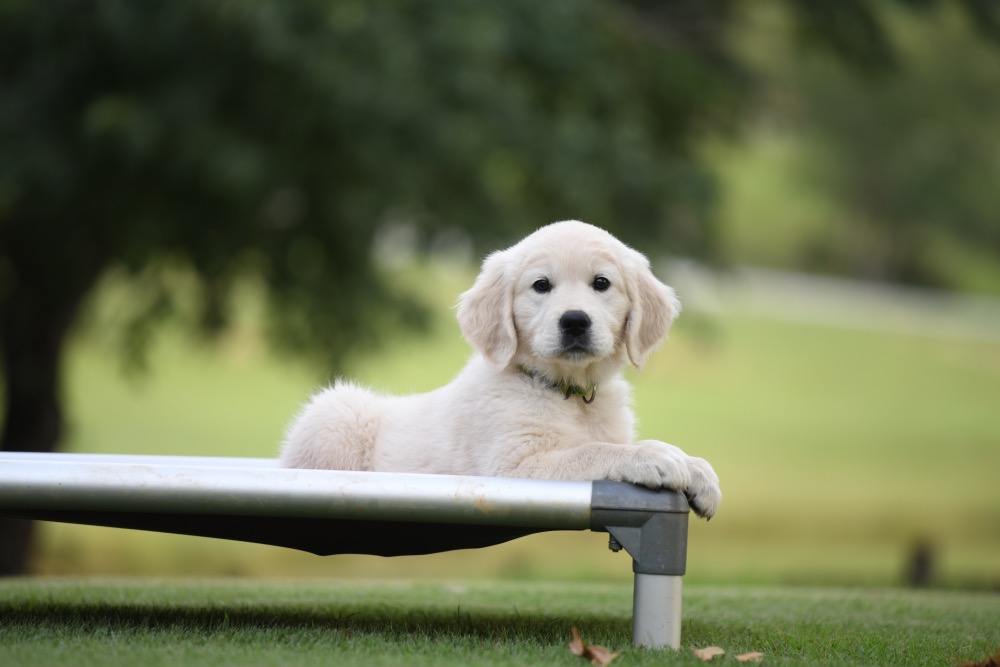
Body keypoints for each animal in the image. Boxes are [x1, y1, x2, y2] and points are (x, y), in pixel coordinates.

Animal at [280, 222, 720, 520]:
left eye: (601, 283)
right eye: (541, 285)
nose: (575, 322)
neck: (566, 392)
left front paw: (699, 470)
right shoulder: (514, 466)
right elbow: (593, 450)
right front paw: (654, 456)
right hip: (336, 413)